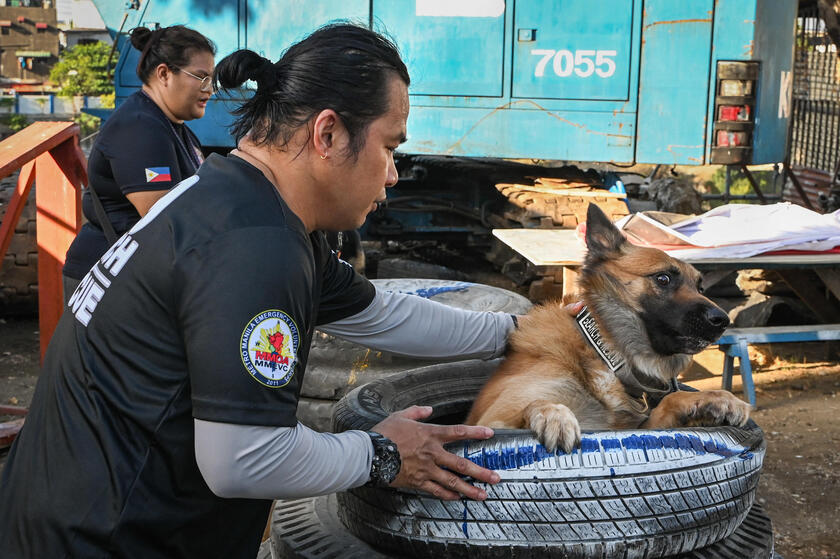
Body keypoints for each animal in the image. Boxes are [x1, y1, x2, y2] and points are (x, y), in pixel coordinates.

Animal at [470, 203, 752, 452]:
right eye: (663, 278)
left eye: (700, 288)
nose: (723, 320)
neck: (604, 352)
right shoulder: (493, 422)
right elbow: (537, 403)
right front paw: (554, 414)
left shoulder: (634, 428)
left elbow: (671, 399)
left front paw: (718, 398)